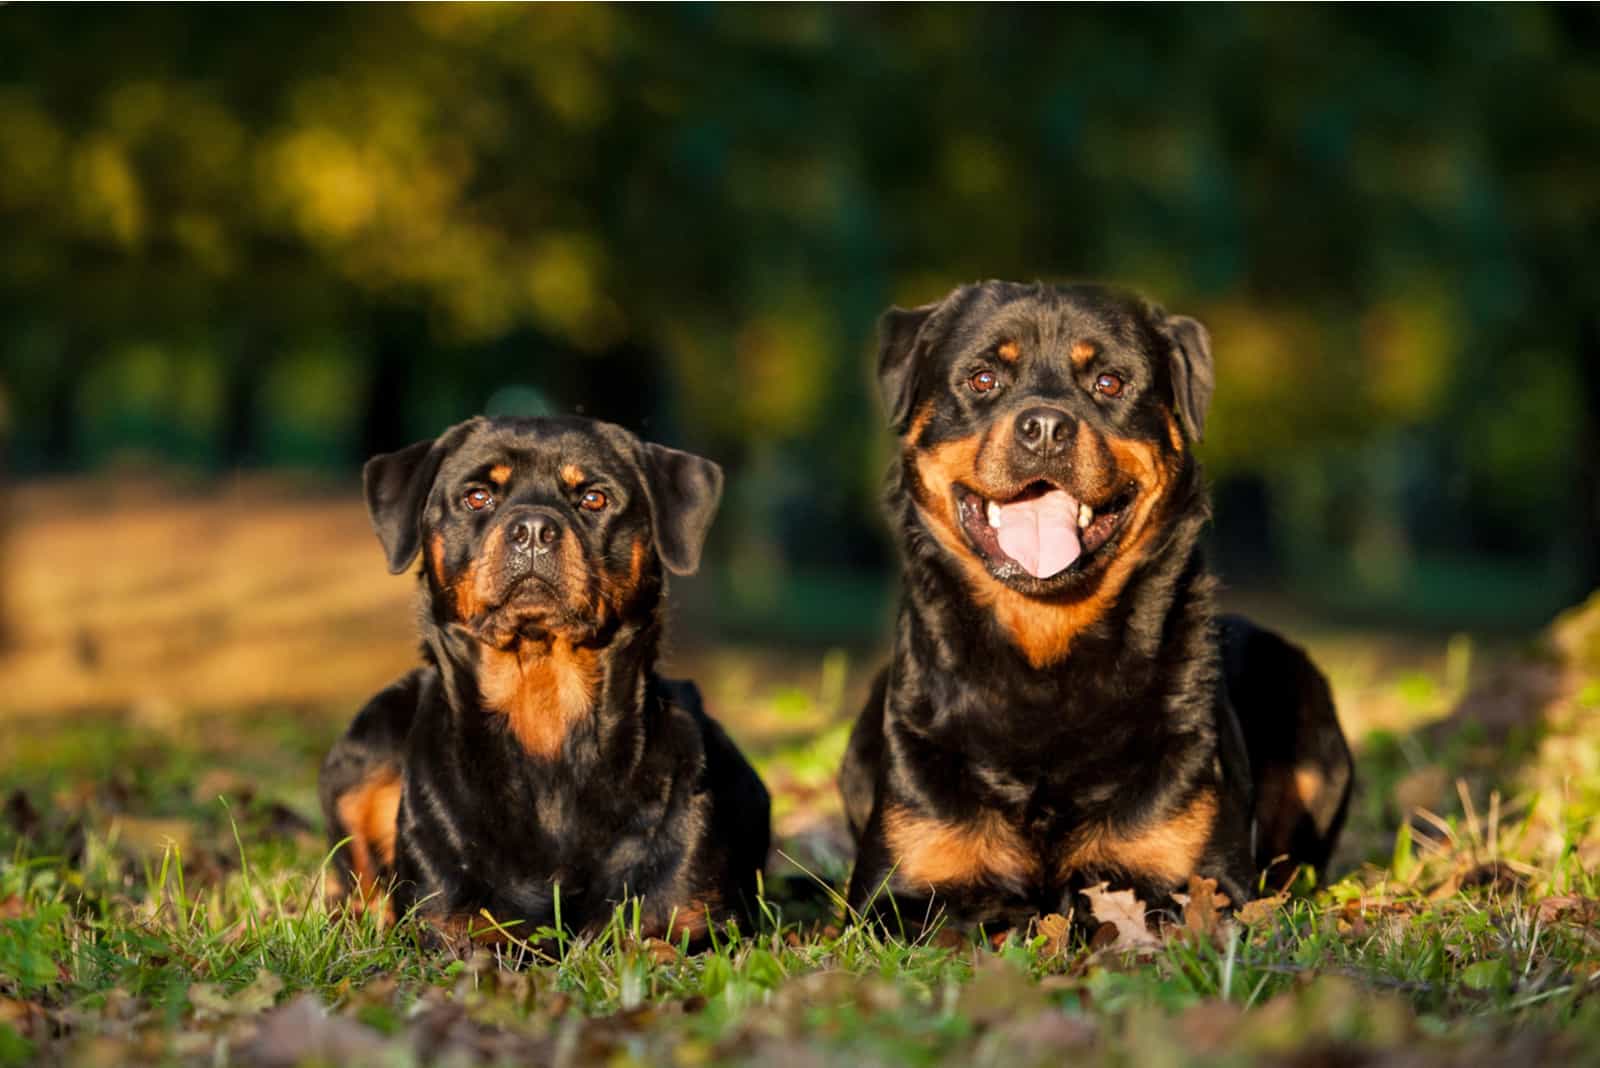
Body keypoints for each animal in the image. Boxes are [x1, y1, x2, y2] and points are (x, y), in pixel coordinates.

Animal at [316, 415, 768, 940]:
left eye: (593, 498)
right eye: (477, 497)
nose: (533, 528)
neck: (546, 718)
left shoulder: (698, 921)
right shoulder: (453, 924)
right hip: (368, 742)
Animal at [844, 281, 1356, 933]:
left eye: (1109, 383)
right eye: (983, 379)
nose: (1044, 426)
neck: (1043, 665)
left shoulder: (1196, 882)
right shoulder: (894, 894)